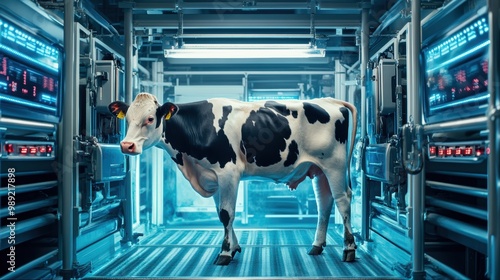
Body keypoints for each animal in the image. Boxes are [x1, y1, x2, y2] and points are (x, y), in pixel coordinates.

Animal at [110, 93, 360, 266]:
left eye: (150, 118)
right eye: (128, 118)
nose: (126, 145)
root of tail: (330, 100)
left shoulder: (228, 172)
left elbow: (226, 214)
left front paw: (224, 253)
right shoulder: (212, 176)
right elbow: (222, 214)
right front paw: (234, 248)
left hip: (335, 165)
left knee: (343, 200)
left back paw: (349, 249)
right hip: (318, 169)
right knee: (325, 203)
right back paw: (317, 246)